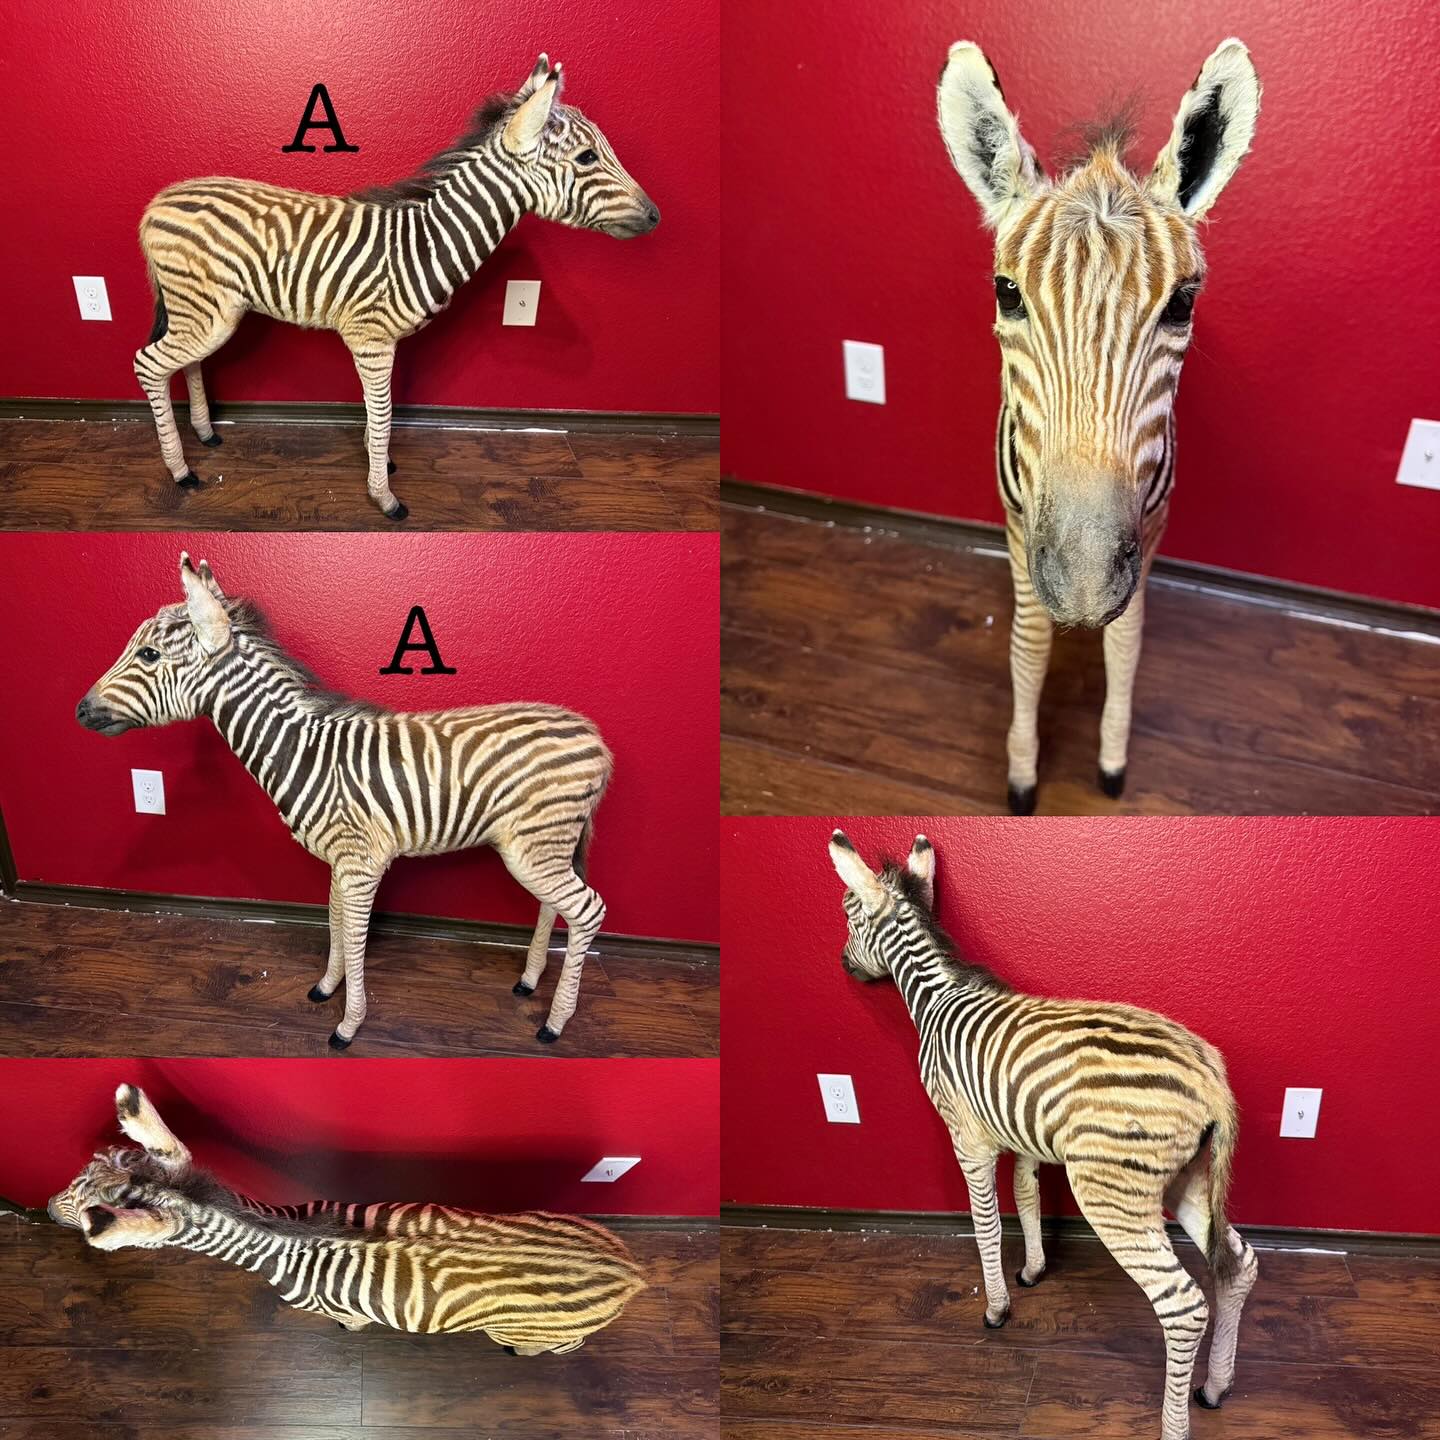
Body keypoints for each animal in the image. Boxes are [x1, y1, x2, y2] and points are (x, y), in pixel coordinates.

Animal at [48, 1084, 647, 1351]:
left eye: (90, 1217)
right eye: (86, 1165)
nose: (46, 1211)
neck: (286, 1234)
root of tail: (629, 1271)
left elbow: (351, 1322)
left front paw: (349, 1328)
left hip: (538, 1330)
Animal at [75, 552, 612, 1050]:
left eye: (148, 655)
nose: (80, 710)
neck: (302, 752)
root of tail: (594, 737)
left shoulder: (360, 865)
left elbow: (354, 940)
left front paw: (347, 1025)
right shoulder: (340, 862)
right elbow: (333, 922)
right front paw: (325, 987)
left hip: (535, 849)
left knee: (588, 911)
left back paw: (554, 1023)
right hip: (541, 848)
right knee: (555, 906)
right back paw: (529, 981)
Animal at [135, 54, 659, 519]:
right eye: (587, 157)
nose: (655, 215)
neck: (425, 243)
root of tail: (158, 202)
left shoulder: (382, 344)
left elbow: (376, 413)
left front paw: (379, 463)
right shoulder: (369, 339)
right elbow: (384, 414)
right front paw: (384, 496)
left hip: (206, 312)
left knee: (187, 362)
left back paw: (205, 432)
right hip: (205, 311)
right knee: (149, 365)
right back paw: (181, 470)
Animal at [828, 830, 1259, 1440]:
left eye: (847, 916)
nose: (843, 966)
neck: (935, 999)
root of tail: (1210, 1081)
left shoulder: (968, 1140)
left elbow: (985, 1225)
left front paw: (996, 1308)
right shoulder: (1022, 1138)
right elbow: (1026, 1197)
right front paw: (1033, 1270)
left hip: (1111, 1193)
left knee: (1183, 1306)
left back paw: (1174, 1426)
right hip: (1184, 1179)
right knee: (1238, 1265)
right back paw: (1217, 1386)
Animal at [936, 40, 1261, 813]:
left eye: (1183, 304)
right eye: (1007, 293)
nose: (1082, 590)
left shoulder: (1150, 529)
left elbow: (1128, 642)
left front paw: (1112, 758)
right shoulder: (1021, 533)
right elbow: (1028, 644)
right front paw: (1022, 771)